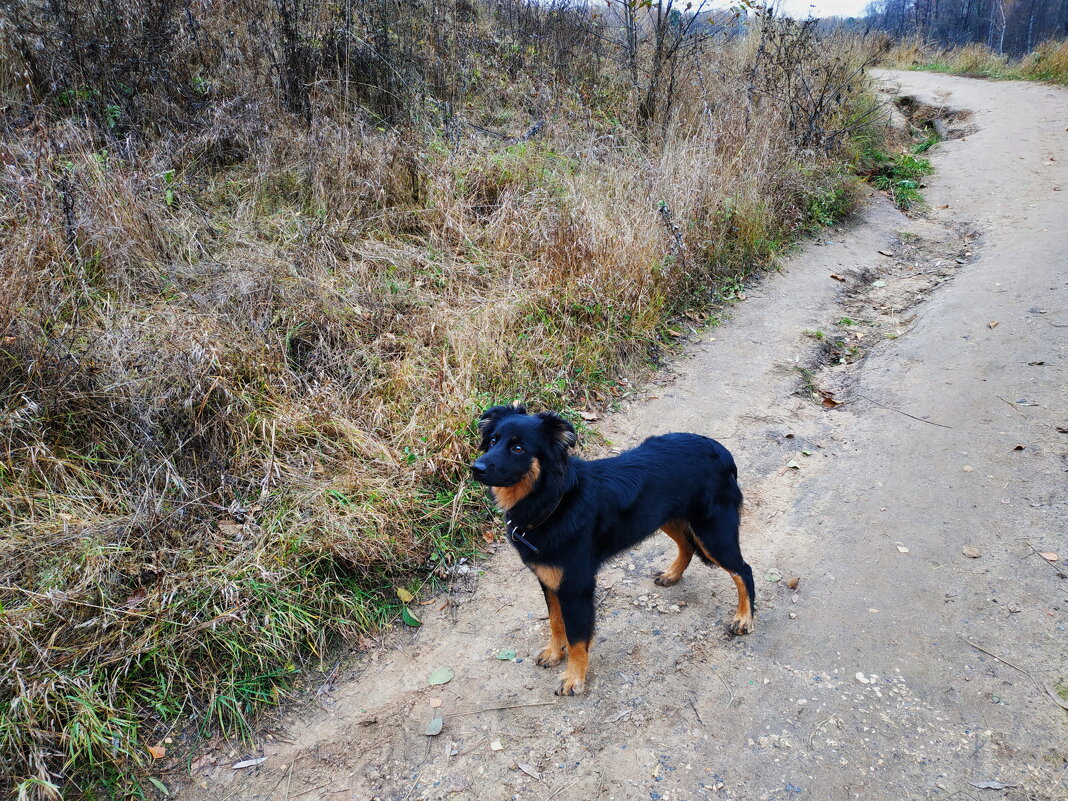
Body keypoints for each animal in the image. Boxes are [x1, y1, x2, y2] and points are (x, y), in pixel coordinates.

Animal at [472, 403, 756, 700]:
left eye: (518, 448)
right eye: (493, 441)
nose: (475, 468)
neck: (553, 500)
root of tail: (722, 451)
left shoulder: (577, 587)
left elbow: (577, 637)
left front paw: (574, 678)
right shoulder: (549, 580)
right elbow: (555, 621)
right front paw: (554, 653)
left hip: (713, 534)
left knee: (743, 570)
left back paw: (743, 618)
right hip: (666, 518)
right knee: (687, 546)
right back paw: (672, 575)